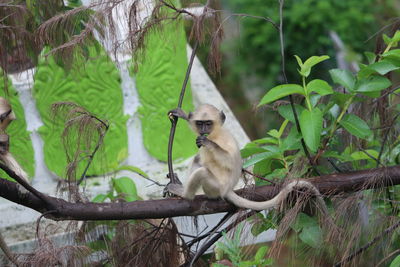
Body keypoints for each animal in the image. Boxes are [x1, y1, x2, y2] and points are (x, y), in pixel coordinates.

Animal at [167, 104, 320, 211]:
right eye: (200, 123)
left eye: (208, 123)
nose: (204, 130)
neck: (214, 134)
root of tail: (228, 189)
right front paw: (183, 114)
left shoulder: (224, 138)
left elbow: (231, 161)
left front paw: (208, 143)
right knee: (198, 159)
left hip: (216, 188)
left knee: (202, 172)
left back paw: (185, 194)